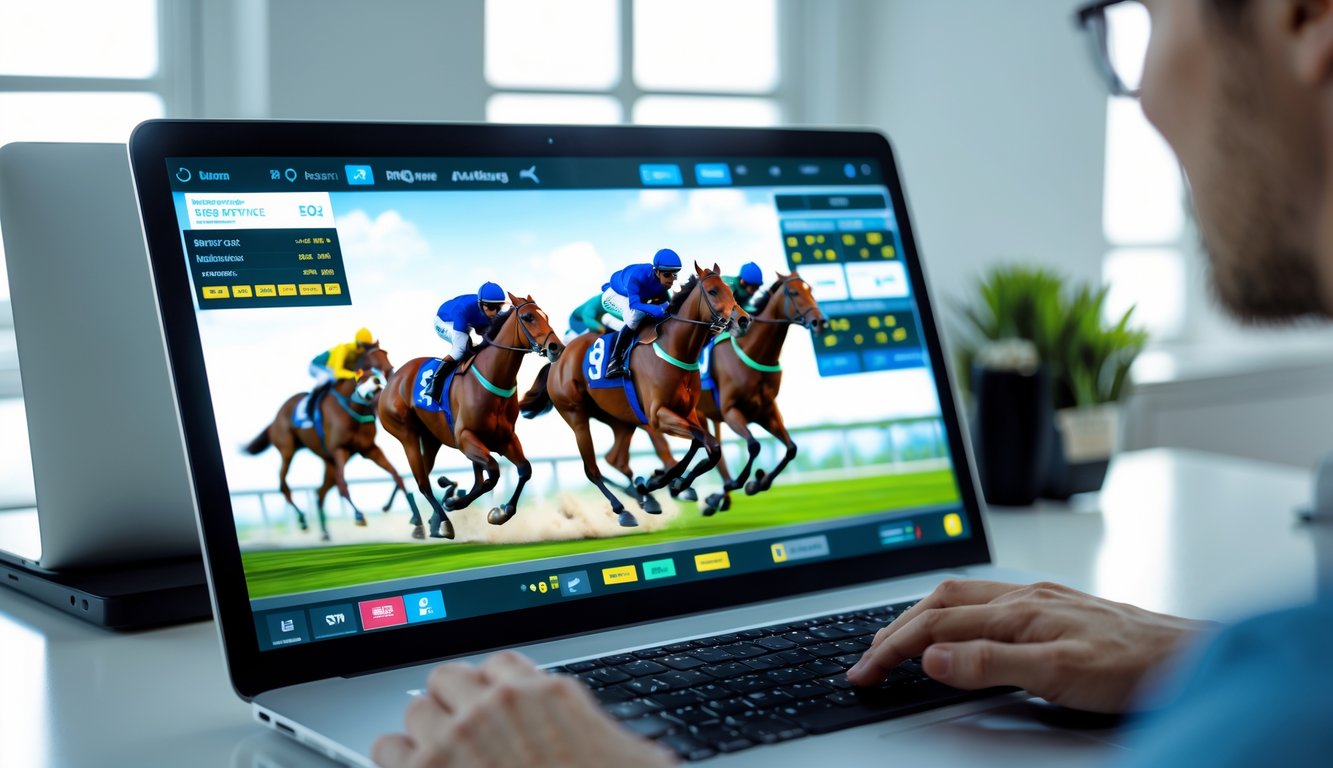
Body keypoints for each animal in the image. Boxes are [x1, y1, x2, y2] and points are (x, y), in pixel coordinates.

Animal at [244, 346, 403, 541]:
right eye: (371, 366)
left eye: (389, 365)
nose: (389, 379)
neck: (352, 407)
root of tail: (274, 420)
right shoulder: (339, 450)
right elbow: (343, 485)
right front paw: (359, 515)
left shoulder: (369, 449)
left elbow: (396, 475)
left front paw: (391, 509)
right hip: (288, 451)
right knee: (283, 484)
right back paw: (302, 519)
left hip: (328, 463)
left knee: (319, 493)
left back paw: (325, 532)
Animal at [379, 293, 563, 540]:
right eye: (527, 317)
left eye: (546, 316)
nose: (556, 347)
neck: (492, 377)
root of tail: (392, 380)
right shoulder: (466, 438)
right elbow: (492, 473)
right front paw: (455, 503)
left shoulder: (504, 438)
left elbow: (523, 470)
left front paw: (501, 512)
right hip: (407, 435)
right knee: (423, 483)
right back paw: (442, 522)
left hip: (431, 439)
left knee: (430, 476)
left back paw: (436, 517)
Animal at [519, 263, 750, 528]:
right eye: (712, 291)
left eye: (730, 291)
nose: (743, 320)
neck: (675, 347)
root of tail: (559, 358)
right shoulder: (657, 415)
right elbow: (707, 443)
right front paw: (667, 482)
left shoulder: (686, 412)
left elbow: (702, 442)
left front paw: (666, 482)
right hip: (576, 416)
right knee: (592, 468)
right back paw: (623, 510)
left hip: (619, 419)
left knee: (616, 458)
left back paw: (645, 498)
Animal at [659, 272, 828, 516]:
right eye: (795, 292)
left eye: (811, 290)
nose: (819, 321)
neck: (753, 351)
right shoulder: (731, 412)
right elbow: (754, 446)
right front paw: (745, 484)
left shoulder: (766, 411)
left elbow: (791, 449)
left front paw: (759, 482)